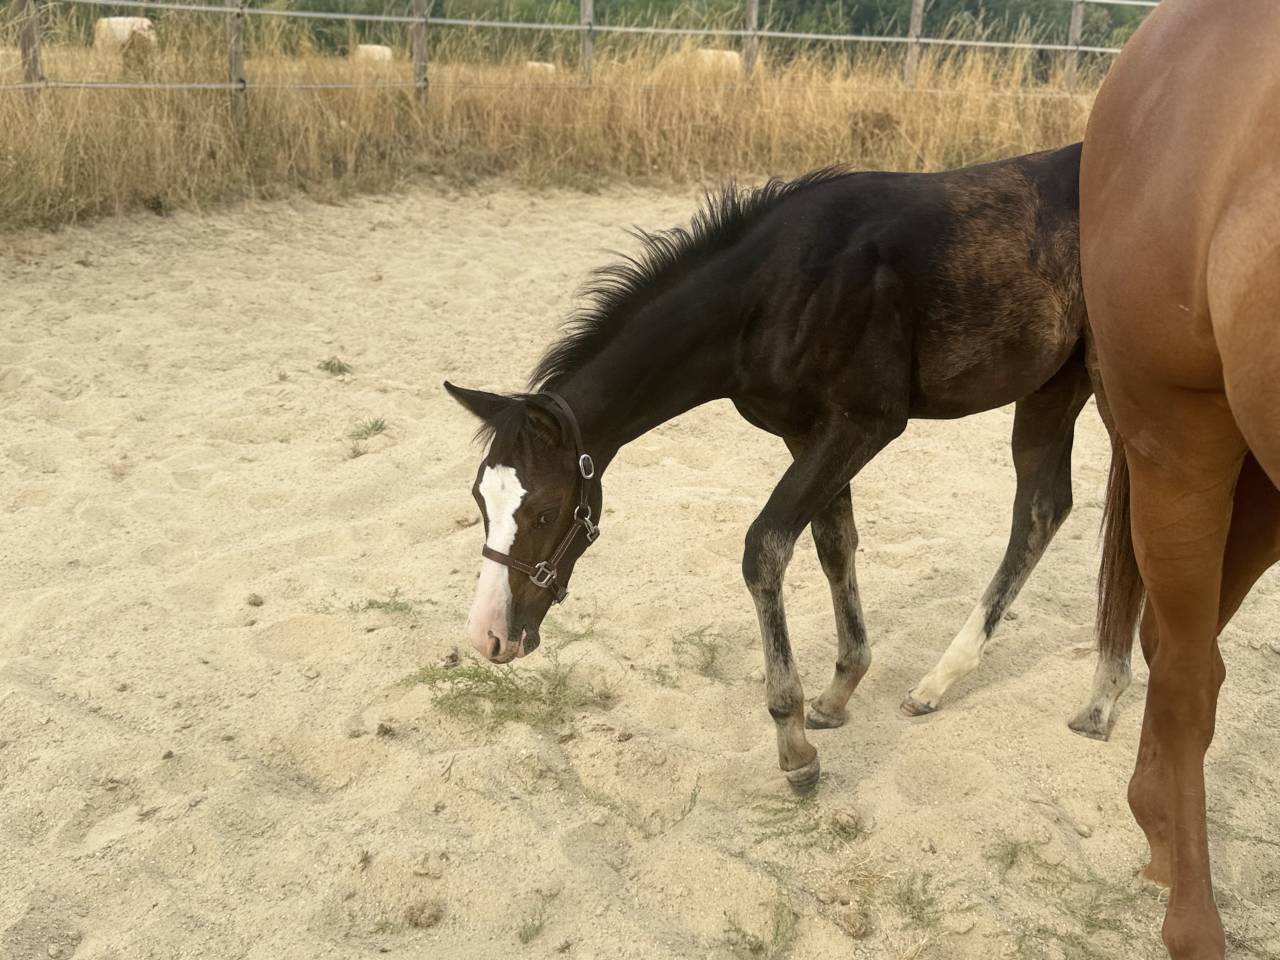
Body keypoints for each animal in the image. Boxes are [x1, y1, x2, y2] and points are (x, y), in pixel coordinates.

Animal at [447, 142, 1131, 792]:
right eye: (481, 501)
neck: (779, 290)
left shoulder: (865, 425)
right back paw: (959, 683)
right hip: (1051, 386)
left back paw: (1091, 698)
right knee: (1044, 509)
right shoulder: (806, 436)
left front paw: (793, 741)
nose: (489, 637)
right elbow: (834, 545)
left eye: (545, 511)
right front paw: (837, 692)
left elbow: (766, 547)